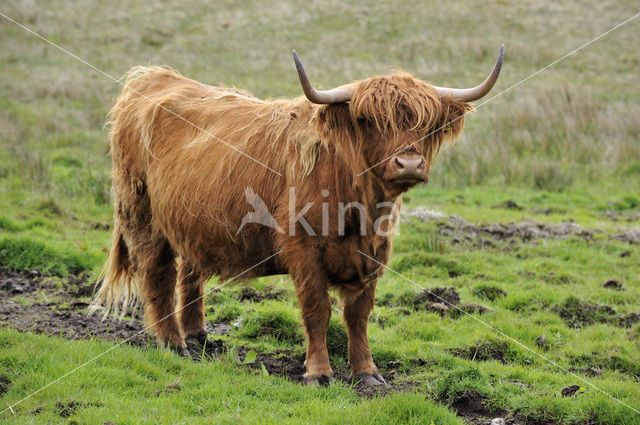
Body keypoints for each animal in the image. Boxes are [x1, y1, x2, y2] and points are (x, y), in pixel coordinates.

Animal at [92, 44, 504, 386]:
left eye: (425, 122)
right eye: (369, 120)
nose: (410, 163)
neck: (358, 208)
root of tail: (153, 76)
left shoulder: (373, 254)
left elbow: (359, 314)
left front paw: (367, 372)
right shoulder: (304, 251)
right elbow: (317, 310)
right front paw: (318, 373)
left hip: (194, 223)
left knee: (190, 274)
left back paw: (198, 337)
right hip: (142, 217)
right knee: (157, 275)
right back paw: (173, 343)